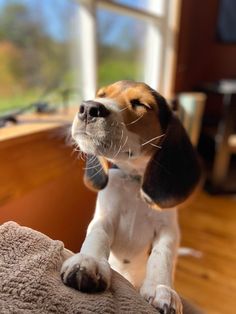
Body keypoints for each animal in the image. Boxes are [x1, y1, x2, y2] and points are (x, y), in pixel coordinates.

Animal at [60, 79, 199, 312]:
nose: (88, 108)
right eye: (101, 94)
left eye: (140, 104)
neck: (133, 180)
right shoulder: (104, 218)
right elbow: (97, 235)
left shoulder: (168, 230)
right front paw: (88, 261)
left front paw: (161, 288)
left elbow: (162, 255)